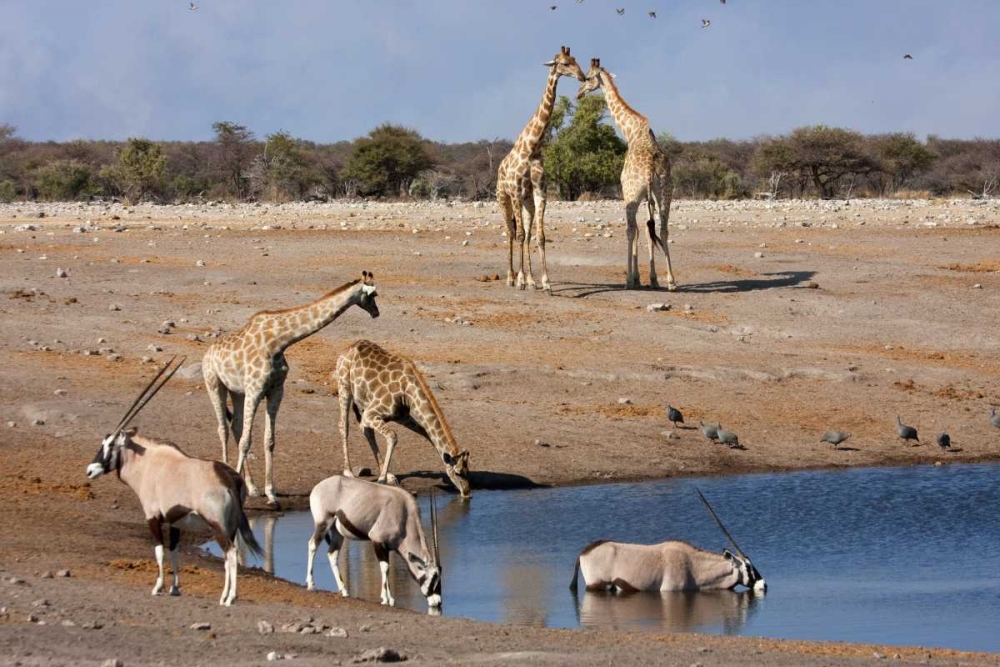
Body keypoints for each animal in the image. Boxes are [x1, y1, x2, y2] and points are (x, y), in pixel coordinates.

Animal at [202, 272, 380, 508]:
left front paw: (271, 494)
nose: (376, 312)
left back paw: (252, 487)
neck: (278, 342)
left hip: (236, 391)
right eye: (374, 295)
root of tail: (207, 354)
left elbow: (269, 440)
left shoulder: (276, 390)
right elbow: (246, 441)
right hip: (214, 384)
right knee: (223, 429)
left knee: (235, 426)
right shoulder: (255, 389)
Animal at [333, 340, 471, 499]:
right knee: (344, 425)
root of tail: (348, 348)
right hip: (344, 387)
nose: (467, 493)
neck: (408, 390)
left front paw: (386, 477)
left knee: (365, 430)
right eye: (458, 472)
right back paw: (349, 472)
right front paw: (381, 480)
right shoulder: (371, 413)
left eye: (468, 471)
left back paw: (389, 475)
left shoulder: (402, 417)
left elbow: (425, 433)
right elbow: (393, 436)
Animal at [496, 46, 585, 291]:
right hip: (503, 198)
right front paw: (519, 280)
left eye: (575, 60)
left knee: (525, 235)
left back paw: (530, 279)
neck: (533, 146)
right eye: (564, 63)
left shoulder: (539, 192)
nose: (583, 77)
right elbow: (518, 235)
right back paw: (510, 277)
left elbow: (539, 237)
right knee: (510, 233)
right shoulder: (516, 193)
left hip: (527, 203)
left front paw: (544, 282)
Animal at [577, 58, 677, 290]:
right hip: (664, 193)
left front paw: (636, 278)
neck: (631, 132)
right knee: (662, 229)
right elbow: (648, 231)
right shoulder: (647, 197)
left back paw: (628, 281)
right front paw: (652, 278)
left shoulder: (629, 193)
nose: (579, 92)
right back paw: (671, 281)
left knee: (631, 229)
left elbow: (635, 230)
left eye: (588, 77)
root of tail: (650, 169)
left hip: (632, 195)